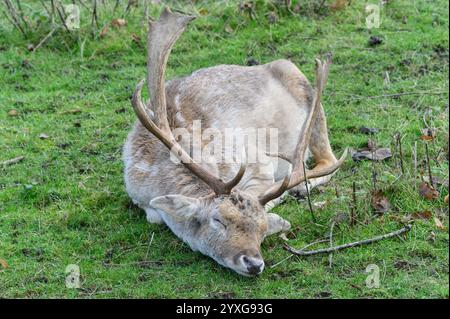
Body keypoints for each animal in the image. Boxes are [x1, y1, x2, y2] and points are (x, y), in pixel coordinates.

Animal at [123, 7, 348, 278]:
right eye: (218, 220)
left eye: (262, 230)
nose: (254, 263)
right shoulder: (135, 191)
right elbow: (154, 217)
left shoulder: (257, 161)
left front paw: (278, 204)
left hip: (310, 99)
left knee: (329, 159)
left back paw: (300, 188)